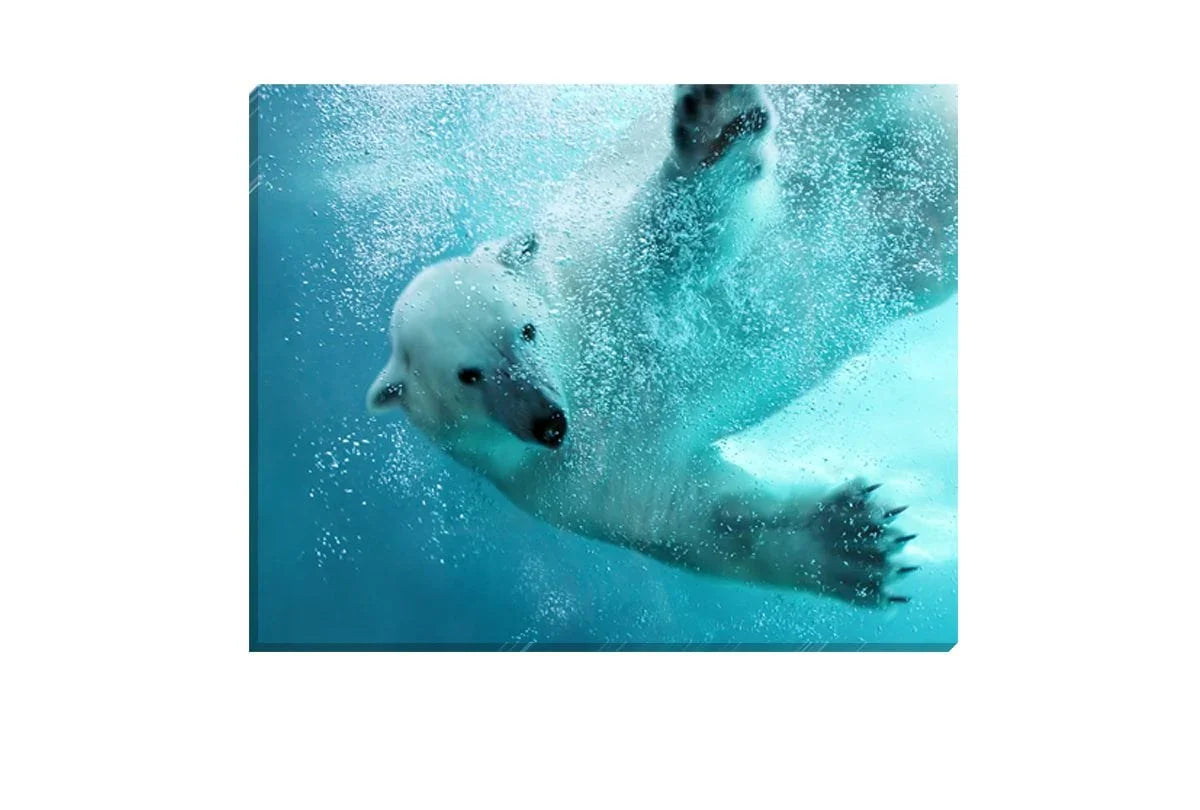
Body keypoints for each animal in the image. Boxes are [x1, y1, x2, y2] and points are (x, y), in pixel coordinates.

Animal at [367, 84, 957, 606]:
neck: (584, 367)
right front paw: (855, 544)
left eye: (526, 329)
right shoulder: (567, 481)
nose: (548, 422)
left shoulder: (602, 270)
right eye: (468, 376)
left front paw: (718, 122)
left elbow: (679, 229)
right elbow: (691, 515)